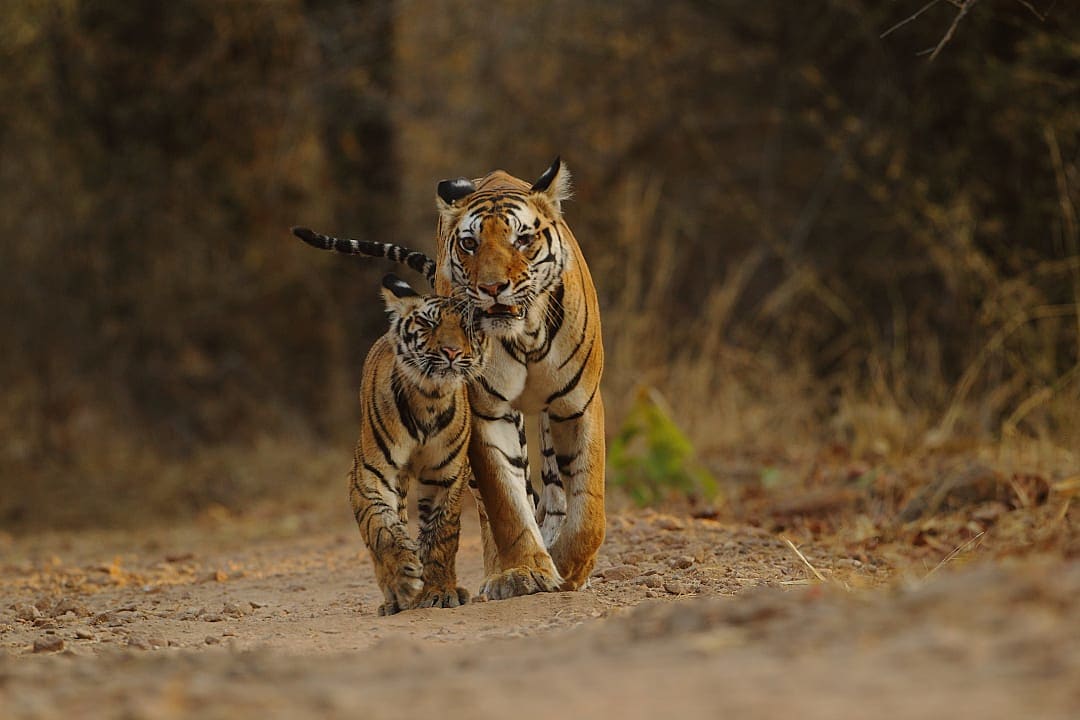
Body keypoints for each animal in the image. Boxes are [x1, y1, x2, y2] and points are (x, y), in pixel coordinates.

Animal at [347, 273, 487, 615]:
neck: (429, 399)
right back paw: (395, 599)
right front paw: (403, 576)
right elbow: (381, 528)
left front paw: (438, 592)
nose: (451, 352)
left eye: (467, 327)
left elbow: (441, 536)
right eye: (428, 323)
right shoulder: (370, 473)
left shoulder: (446, 475)